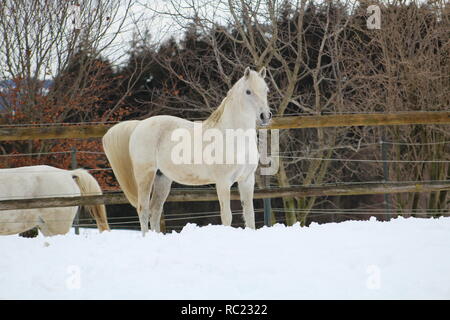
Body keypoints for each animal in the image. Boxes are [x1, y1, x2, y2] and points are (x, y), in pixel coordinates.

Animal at [103, 67, 270, 234]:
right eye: (248, 91)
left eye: (266, 90)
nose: (265, 116)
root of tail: (138, 125)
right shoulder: (223, 182)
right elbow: (227, 216)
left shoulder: (247, 180)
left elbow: (250, 215)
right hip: (145, 175)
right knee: (143, 209)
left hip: (162, 179)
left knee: (155, 211)